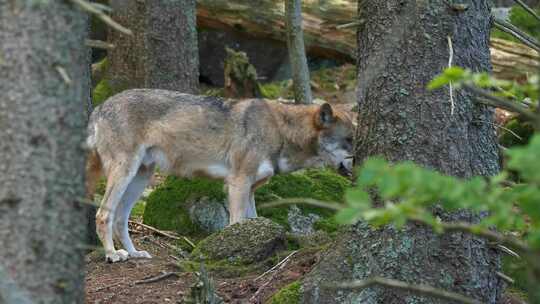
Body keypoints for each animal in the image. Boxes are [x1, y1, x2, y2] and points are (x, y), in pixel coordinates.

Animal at [86, 89, 356, 262]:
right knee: (103, 215)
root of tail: (99, 107)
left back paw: (134, 253)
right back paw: (112, 255)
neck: (279, 131)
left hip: (140, 178)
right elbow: (235, 224)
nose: (361, 162)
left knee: (120, 218)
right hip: (125, 173)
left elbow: (253, 221)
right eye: (349, 140)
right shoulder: (238, 183)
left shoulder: (250, 189)